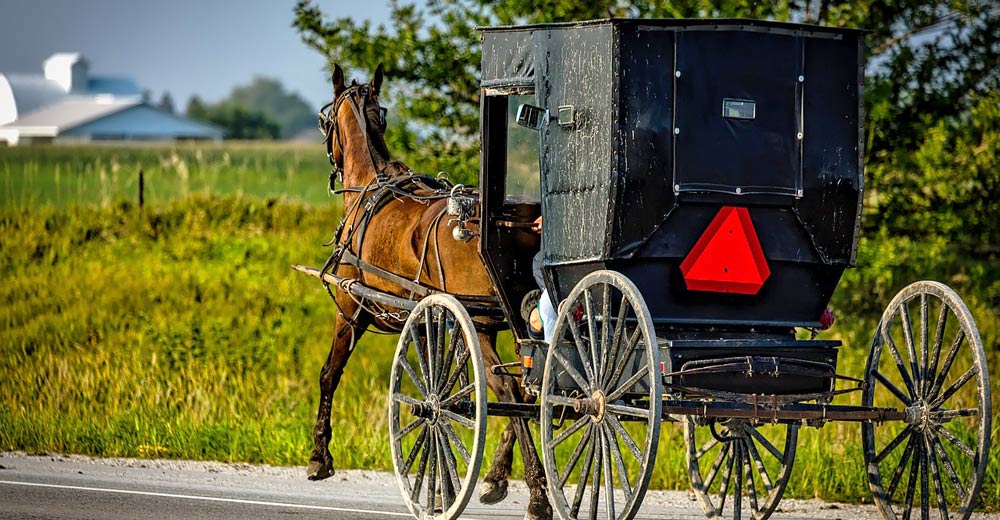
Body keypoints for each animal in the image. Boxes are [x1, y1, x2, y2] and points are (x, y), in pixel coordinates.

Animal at [306, 63, 552, 520]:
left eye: (324, 120)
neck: (370, 186)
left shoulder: (350, 309)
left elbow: (329, 374)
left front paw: (319, 457)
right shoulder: (426, 321)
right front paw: (444, 485)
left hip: (480, 323)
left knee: (510, 390)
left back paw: (538, 493)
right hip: (508, 323)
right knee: (530, 388)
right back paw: (496, 478)